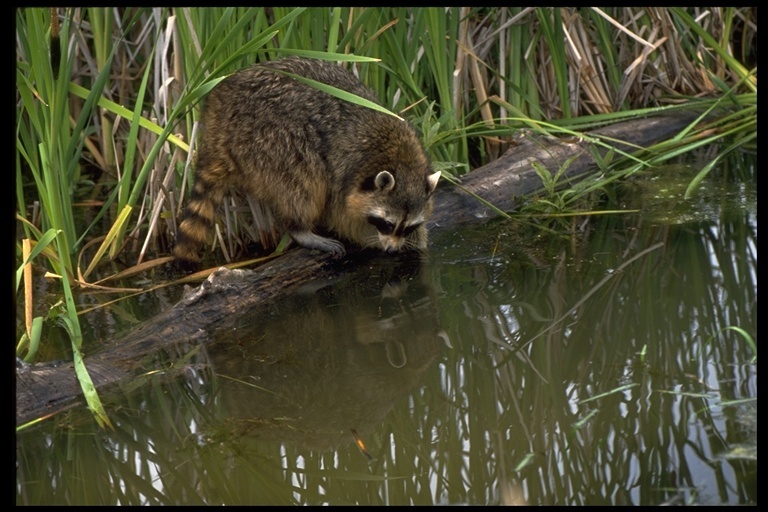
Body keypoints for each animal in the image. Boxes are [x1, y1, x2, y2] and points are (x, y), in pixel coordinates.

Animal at [173, 57, 438, 270]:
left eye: (407, 227)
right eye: (386, 224)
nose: (392, 250)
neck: (400, 160)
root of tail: (219, 122)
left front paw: (417, 243)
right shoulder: (344, 171)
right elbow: (343, 217)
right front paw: (369, 238)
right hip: (269, 138)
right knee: (304, 182)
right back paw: (300, 228)